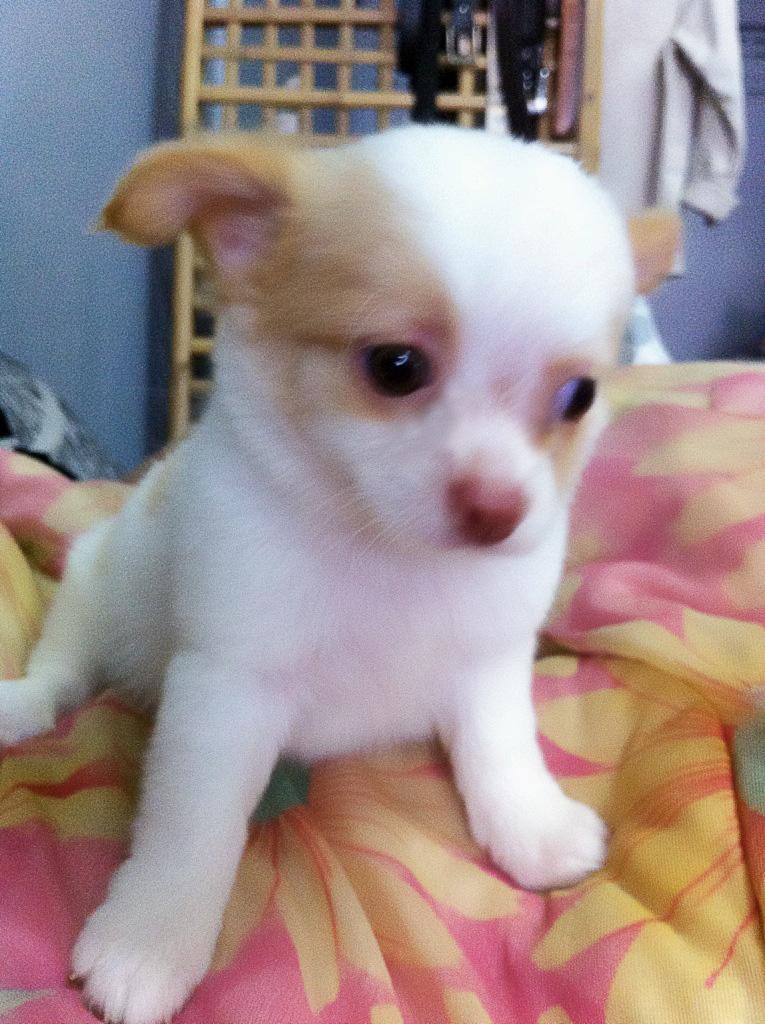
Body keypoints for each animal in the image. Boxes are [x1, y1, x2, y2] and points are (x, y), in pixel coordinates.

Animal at [0, 125, 678, 1024]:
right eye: (394, 366)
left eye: (577, 397)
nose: (497, 508)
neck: (386, 553)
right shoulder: (226, 692)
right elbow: (193, 823)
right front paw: (153, 936)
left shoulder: (489, 661)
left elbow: (501, 745)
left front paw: (529, 825)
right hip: (97, 583)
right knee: (66, 668)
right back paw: (24, 705)